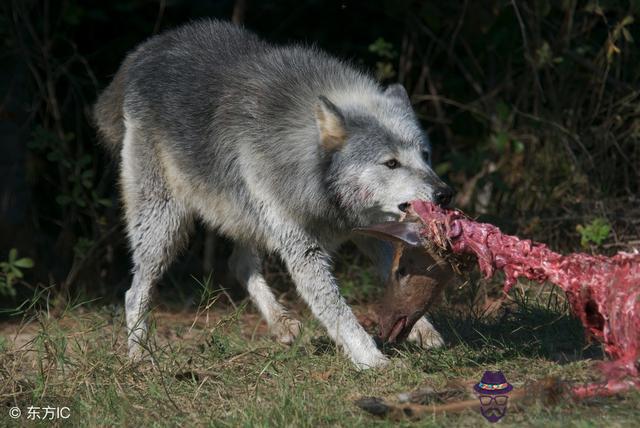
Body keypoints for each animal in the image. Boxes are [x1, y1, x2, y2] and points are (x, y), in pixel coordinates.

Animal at [94, 19, 456, 368]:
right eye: (391, 163)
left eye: (425, 155)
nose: (445, 194)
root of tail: (145, 51)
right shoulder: (303, 249)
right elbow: (339, 312)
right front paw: (372, 360)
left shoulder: (365, 227)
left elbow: (393, 272)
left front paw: (420, 329)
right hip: (167, 227)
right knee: (134, 291)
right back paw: (139, 355)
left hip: (245, 216)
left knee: (238, 263)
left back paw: (281, 324)